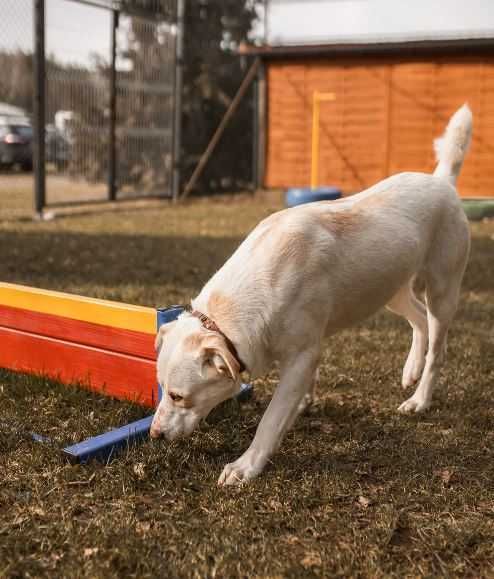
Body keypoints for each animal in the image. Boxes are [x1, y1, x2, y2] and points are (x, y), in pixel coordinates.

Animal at [150, 103, 470, 484]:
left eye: (178, 396)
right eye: (161, 388)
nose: (154, 434)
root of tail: (441, 182)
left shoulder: (303, 352)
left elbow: (271, 418)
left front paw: (245, 466)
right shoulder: (306, 348)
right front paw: (301, 404)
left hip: (441, 291)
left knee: (437, 346)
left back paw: (420, 398)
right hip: (390, 288)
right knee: (419, 319)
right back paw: (410, 370)